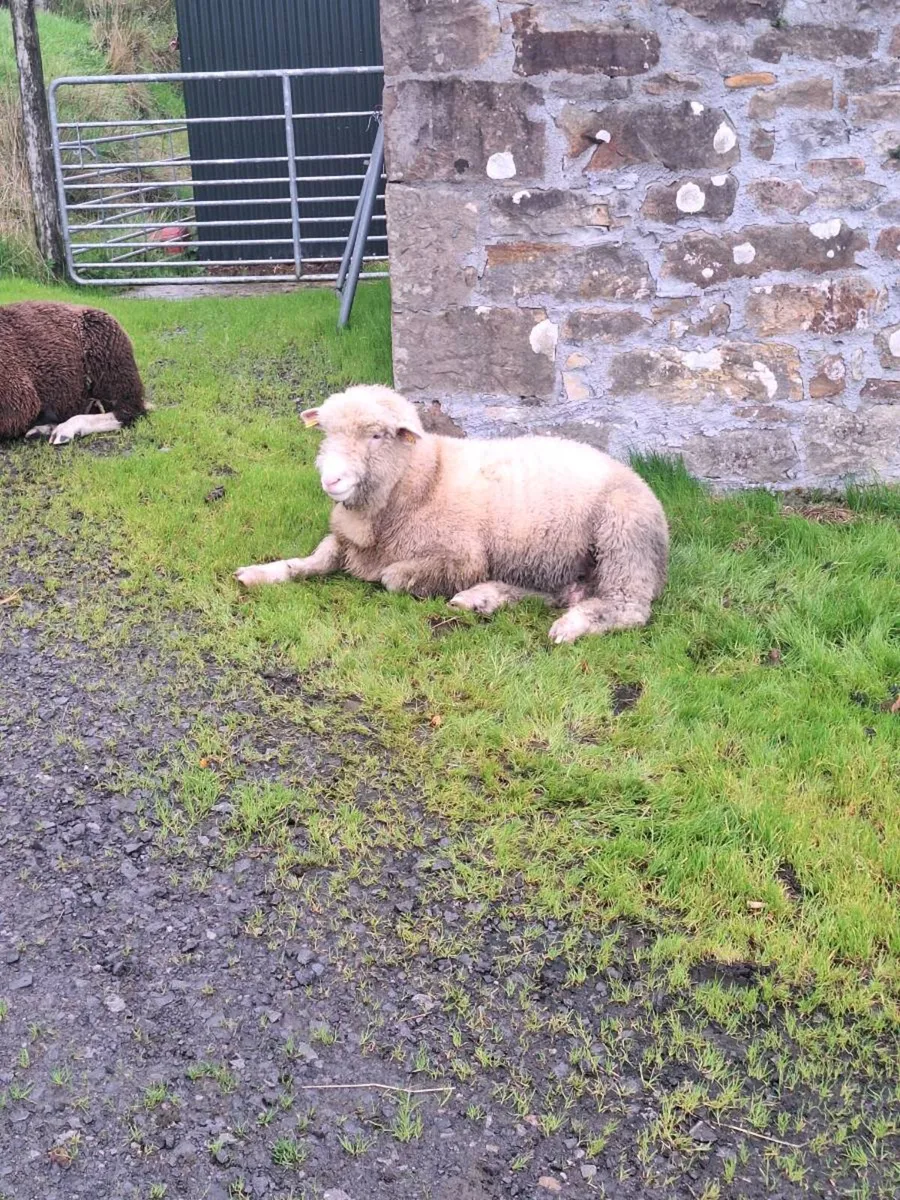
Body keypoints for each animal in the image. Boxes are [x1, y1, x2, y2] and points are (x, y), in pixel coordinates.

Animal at [234, 385, 669, 644]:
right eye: (326, 433)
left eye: (377, 435)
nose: (332, 480)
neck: (422, 478)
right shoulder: (348, 541)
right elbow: (313, 560)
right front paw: (263, 572)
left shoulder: (461, 558)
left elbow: (392, 578)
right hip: (556, 563)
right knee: (558, 593)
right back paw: (485, 598)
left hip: (622, 539)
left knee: (628, 607)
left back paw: (570, 625)